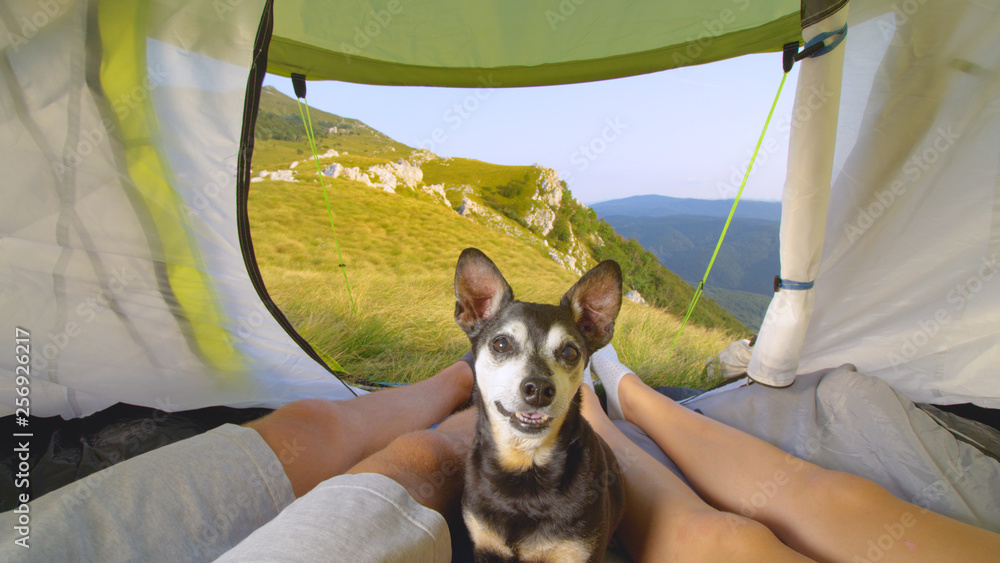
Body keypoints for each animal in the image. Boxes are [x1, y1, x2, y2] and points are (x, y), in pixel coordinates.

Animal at [456, 249, 624, 560]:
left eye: (570, 352)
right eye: (501, 344)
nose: (538, 390)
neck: (526, 462)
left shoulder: (578, 552)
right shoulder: (486, 546)